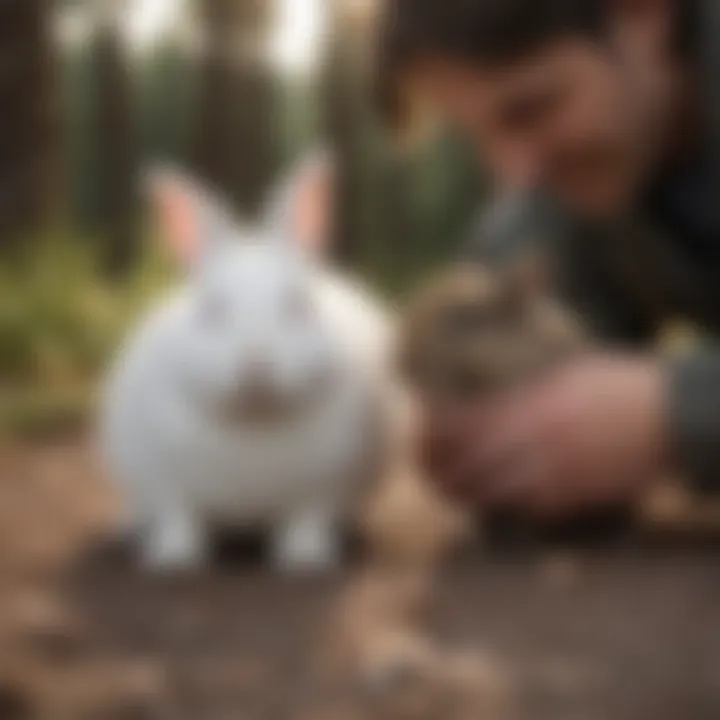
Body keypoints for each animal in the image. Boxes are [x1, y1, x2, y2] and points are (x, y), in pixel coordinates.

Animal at [99, 153, 396, 572]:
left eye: (297, 305)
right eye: (211, 309)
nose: (256, 365)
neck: (255, 420)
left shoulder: (322, 490)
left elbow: (306, 519)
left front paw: (304, 559)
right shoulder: (164, 480)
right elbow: (179, 518)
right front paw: (174, 559)